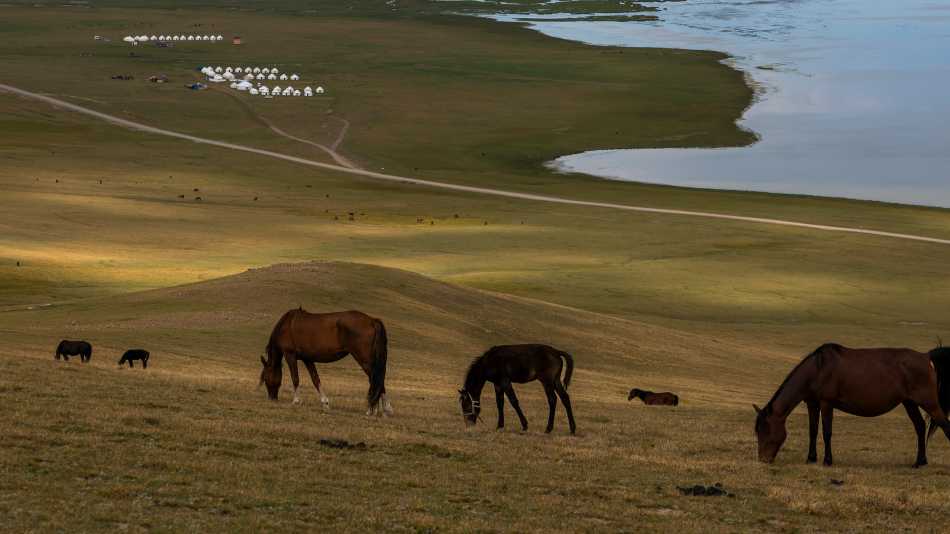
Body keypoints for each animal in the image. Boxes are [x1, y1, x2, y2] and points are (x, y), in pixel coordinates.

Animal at [259, 308, 392, 416]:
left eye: (265, 378)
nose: (272, 398)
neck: (286, 325)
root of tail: (372, 321)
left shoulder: (290, 355)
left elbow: (295, 378)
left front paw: (296, 401)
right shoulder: (308, 359)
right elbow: (315, 379)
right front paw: (325, 403)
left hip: (365, 361)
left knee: (376, 380)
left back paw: (374, 410)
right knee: (377, 380)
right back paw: (382, 409)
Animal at [754, 343, 950, 467]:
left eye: (766, 430)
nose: (763, 459)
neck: (818, 369)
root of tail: (926, 357)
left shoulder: (826, 403)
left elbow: (826, 432)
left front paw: (827, 460)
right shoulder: (812, 403)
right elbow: (813, 431)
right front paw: (811, 458)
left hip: (929, 403)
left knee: (945, 425)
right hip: (910, 403)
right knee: (920, 426)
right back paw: (919, 462)